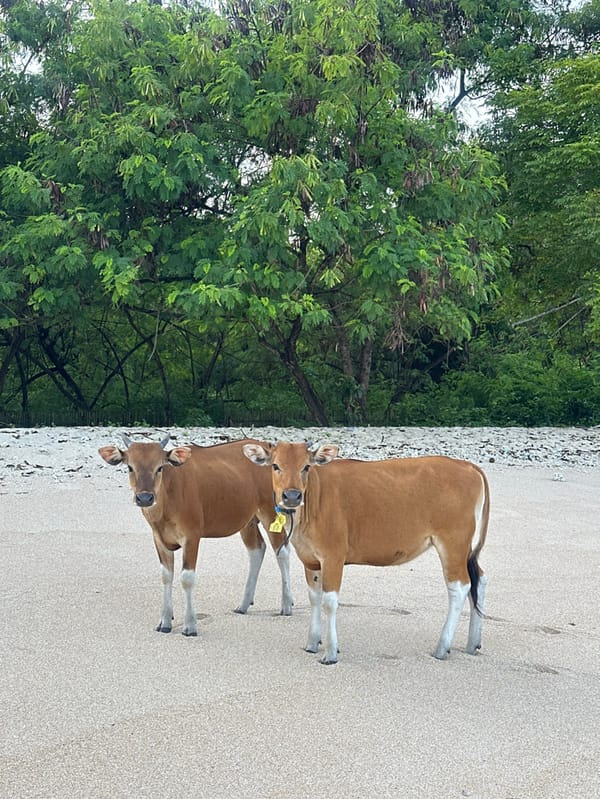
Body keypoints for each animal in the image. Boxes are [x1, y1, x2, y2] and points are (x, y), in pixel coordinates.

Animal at [98, 435, 293, 636]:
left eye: (160, 467)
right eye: (130, 467)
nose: (145, 498)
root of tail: (270, 450)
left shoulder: (192, 536)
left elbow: (186, 578)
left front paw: (190, 625)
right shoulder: (159, 539)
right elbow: (166, 576)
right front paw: (165, 621)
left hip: (270, 510)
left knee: (282, 550)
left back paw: (286, 604)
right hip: (247, 519)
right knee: (257, 549)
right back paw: (243, 604)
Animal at [243, 441, 490, 664]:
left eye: (306, 466)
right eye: (275, 465)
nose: (292, 496)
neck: (313, 503)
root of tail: (468, 466)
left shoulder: (333, 556)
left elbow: (329, 601)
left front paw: (331, 652)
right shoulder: (310, 560)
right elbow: (314, 598)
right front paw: (312, 642)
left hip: (453, 543)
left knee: (460, 586)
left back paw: (442, 647)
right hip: (464, 548)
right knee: (479, 579)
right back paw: (473, 642)